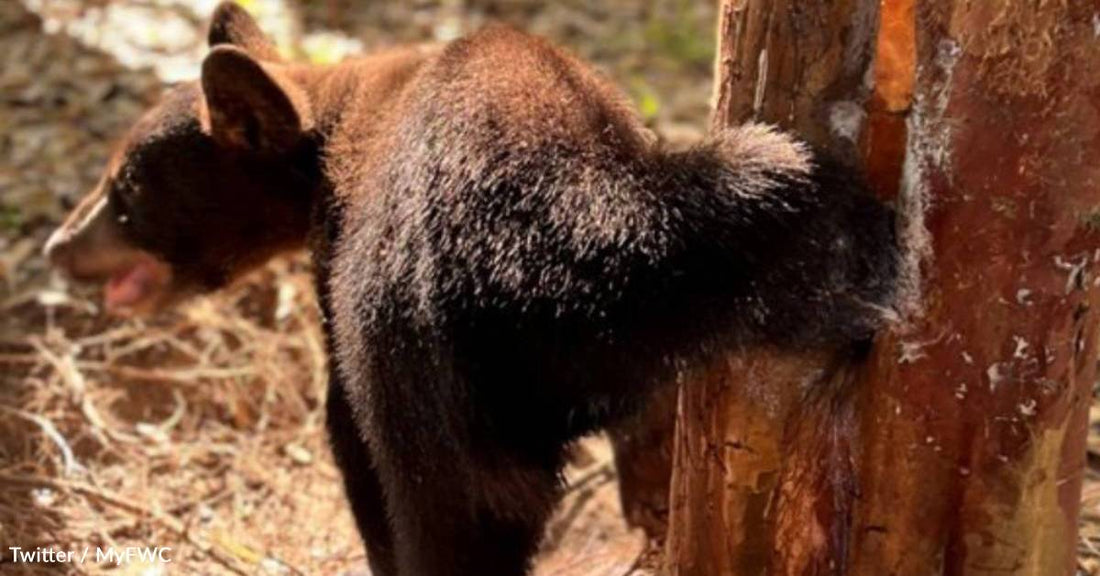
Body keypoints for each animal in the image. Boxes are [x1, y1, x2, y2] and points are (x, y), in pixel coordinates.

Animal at [44, 4, 899, 576]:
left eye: (125, 192)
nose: (59, 246)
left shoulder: (341, 274)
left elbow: (351, 441)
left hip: (421, 371)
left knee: (432, 508)